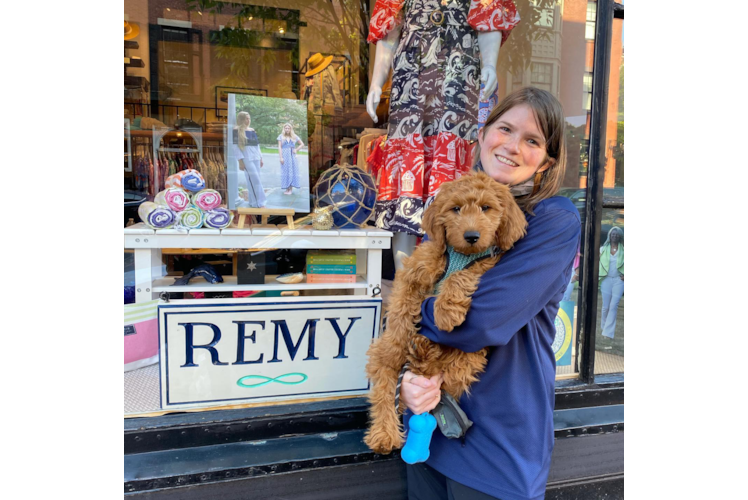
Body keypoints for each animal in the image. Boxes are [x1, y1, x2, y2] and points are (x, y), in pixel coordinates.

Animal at [362, 171, 524, 454]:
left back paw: (424, 352)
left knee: (445, 370)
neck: (460, 254)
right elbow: (403, 305)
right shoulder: (417, 268)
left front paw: (446, 312)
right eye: (455, 209)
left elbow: (461, 276)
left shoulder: (485, 264)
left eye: (486, 208)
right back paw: (384, 434)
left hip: (469, 357)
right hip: (382, 362)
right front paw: (399, 337)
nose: (472, 235)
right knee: (384, 391)